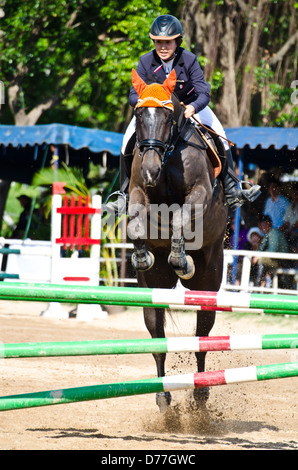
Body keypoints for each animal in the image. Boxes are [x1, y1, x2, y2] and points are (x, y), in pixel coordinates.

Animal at [127, 69, 227, 412]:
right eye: (138, 114)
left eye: (169, 116)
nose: (150, 170)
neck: (168, 154)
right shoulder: (138, 191)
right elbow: (135, 223)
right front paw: (142, 256)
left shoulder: (199, 193)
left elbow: (182, 219)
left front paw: (181, 260)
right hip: (152, 294)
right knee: (158, 340)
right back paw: (163, 397)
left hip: (208, 283)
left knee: (202, 338)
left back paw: (201, 394)